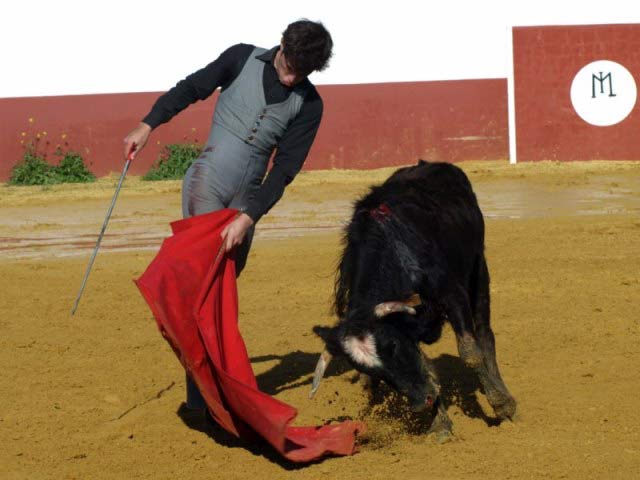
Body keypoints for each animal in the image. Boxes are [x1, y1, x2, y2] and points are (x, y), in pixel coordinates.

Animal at [308, 159, 516, 436]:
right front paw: (439, 425)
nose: (420, 403)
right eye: (367, 369)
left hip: (478, 268)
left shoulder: (452, 295)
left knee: (484, 333)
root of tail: (431, 164)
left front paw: (502, 406)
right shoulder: (407, 323)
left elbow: (470, 352)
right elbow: (426, 367)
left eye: (392, 345)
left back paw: (503, 398)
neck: (394, 250)